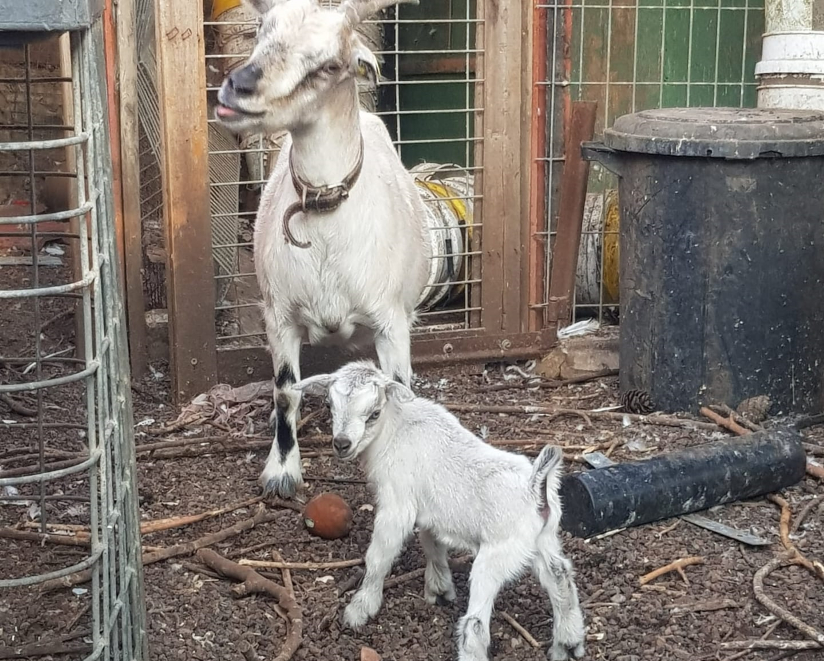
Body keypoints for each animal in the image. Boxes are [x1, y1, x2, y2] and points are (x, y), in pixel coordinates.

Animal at [214, 0, 432, 496]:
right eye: (261, 34)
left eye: (329, 64)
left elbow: (397, 389)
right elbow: (285, 391)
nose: (238, 87)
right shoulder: (277, 315)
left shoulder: (392, 322)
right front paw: (281, 471)